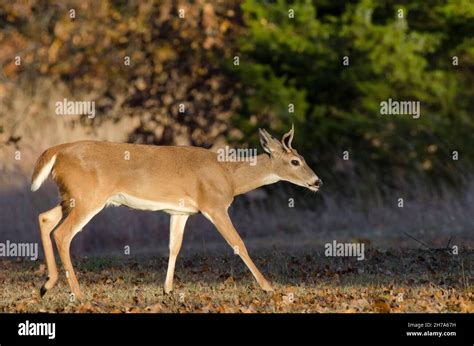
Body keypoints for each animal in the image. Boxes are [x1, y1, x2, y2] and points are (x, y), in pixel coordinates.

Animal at [31, 125, 320, 298]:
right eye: (295, 161)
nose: (317, 182)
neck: (229, 176)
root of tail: (56, 151)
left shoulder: (179, 212)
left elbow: (174, 247)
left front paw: (168, 289)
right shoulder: (214, 205)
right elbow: (238, 243)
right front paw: (267, 286)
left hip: (71, 197)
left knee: (44, 218)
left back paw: (46, 285)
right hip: (88, 198)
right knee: (63, 234)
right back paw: (77, 293)